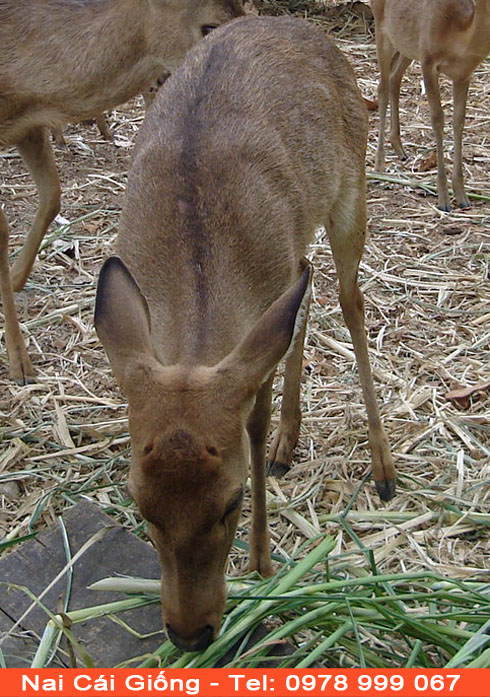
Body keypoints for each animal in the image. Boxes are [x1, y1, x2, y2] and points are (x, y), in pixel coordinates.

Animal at [94, 13, 396, 652]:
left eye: (231, 500)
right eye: (140, 503)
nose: (191, 632)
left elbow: (252, 420)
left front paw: (260, 562)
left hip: (351, 185)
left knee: (350, 300)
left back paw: (382, 468)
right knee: (306, 296)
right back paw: (289, 444)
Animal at [372, 0, 490, 212]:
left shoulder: (463, 75)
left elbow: (459, 121)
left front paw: (462, 196)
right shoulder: (428, 59)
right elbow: (437, 119)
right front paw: (443, 199)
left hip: (407, 45)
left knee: (394, 78)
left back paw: (399, 148)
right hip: (382, 28)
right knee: (382, 87)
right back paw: (379, 165)